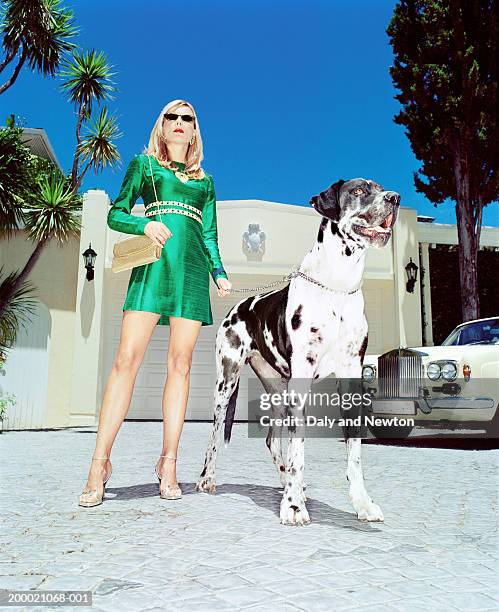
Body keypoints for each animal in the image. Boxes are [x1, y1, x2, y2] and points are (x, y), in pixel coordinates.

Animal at [196, 178, 402, 524]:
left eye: (381, 187)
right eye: (359, 190)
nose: (395, 198)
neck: (337, 287)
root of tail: (237, 307)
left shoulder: (351, 378)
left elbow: (353, 453)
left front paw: (362, 503)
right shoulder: (302, 382)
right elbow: (298, 450)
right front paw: (293, 506)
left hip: (279, 391)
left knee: (272, 440)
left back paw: (289, 484)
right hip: (226, 383)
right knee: (213, 436)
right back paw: (208, 479)